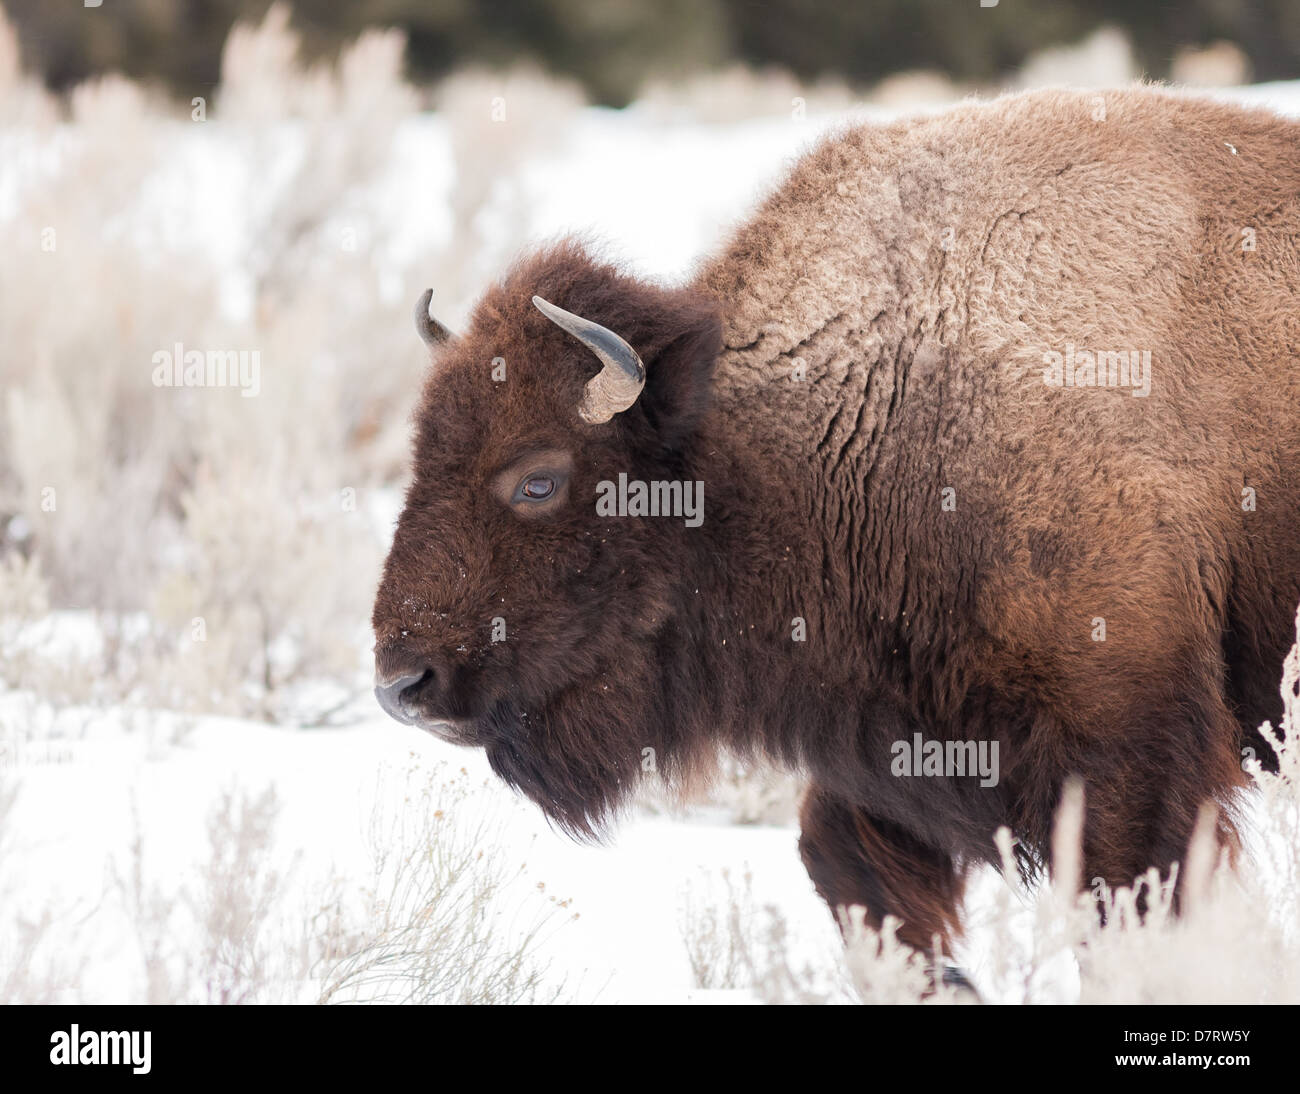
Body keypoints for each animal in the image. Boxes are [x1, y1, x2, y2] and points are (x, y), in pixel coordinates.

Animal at [371, 89, 1300, 982]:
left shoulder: (1124, 742)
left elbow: (1129, 905)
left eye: (538, 478)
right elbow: (844, 867)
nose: (403, 683)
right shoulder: (897, 737)